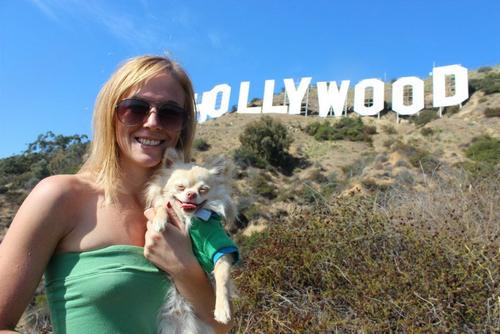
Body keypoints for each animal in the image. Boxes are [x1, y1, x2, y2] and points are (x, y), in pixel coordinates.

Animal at [146, 149, 239, 334]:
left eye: (203, 190)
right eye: (180, 187)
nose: (191, 194)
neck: (188, 218)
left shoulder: (221, 250)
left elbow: (222, 277)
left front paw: (222, 309)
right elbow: (162, 206)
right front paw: (160, 220)